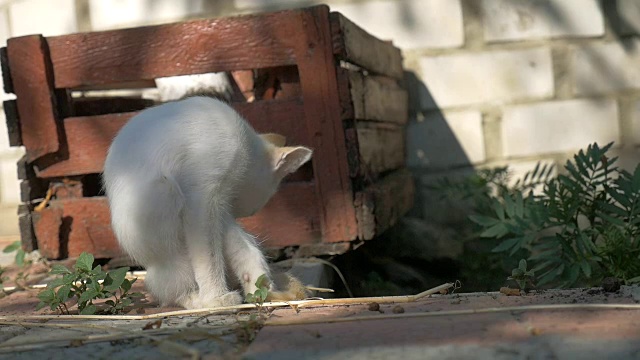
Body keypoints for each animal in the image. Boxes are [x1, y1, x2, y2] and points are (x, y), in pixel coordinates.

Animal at [103, 96, 312, 310]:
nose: (250, 213)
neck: (245, 149)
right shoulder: (201, 198)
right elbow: (208, 255)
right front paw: (216, 298)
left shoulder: (219, 204)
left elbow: (240, 245)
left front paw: (257, 284)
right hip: (165, 193)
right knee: (165, 284)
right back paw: (195, 299)